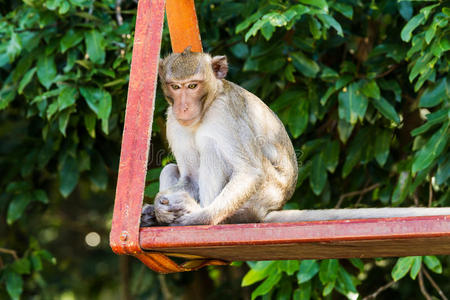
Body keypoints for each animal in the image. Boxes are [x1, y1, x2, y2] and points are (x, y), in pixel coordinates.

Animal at [140, 47, 450, 226]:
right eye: (175, 86)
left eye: (193, 86)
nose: (183, 106)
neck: (207, 107)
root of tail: (268, 209)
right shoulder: (173, 122)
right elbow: (188, 176)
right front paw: (160, 208)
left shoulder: (224, 113)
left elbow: (249, 172)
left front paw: (199, 216)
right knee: (171, 168)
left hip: (259, 198)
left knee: (213, 150)